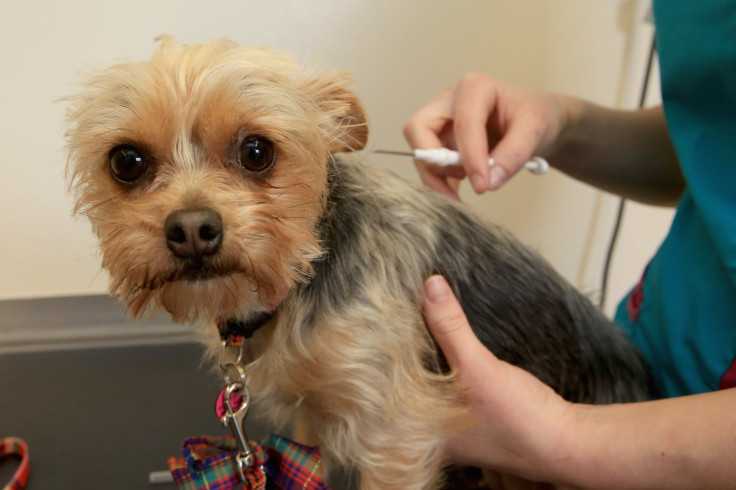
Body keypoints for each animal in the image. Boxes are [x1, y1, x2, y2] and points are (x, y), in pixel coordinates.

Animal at [61, 36, 648, 488]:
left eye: (257, 151)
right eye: (126, 161)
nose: (191, 230)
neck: (299, 280)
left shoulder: (396, 435)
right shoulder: (306, 421)